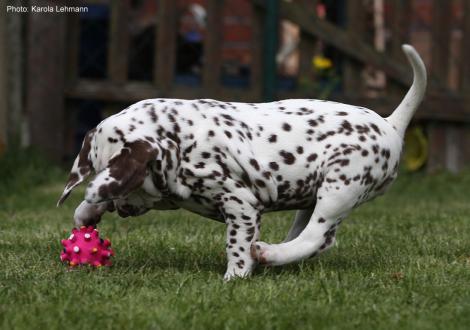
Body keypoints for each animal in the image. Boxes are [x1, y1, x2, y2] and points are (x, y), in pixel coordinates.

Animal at [57, 44, 426, 282]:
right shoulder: (171, 194)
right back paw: (276, 256)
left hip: (339, 189)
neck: (180, 140)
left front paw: (235, 276)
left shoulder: (240, 204)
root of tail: (390, 123)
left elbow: (237, 245)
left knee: (317, 237)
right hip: (314, 195)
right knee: (312, 239)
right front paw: (87, 213)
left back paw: (267, 255)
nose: (121, 210)